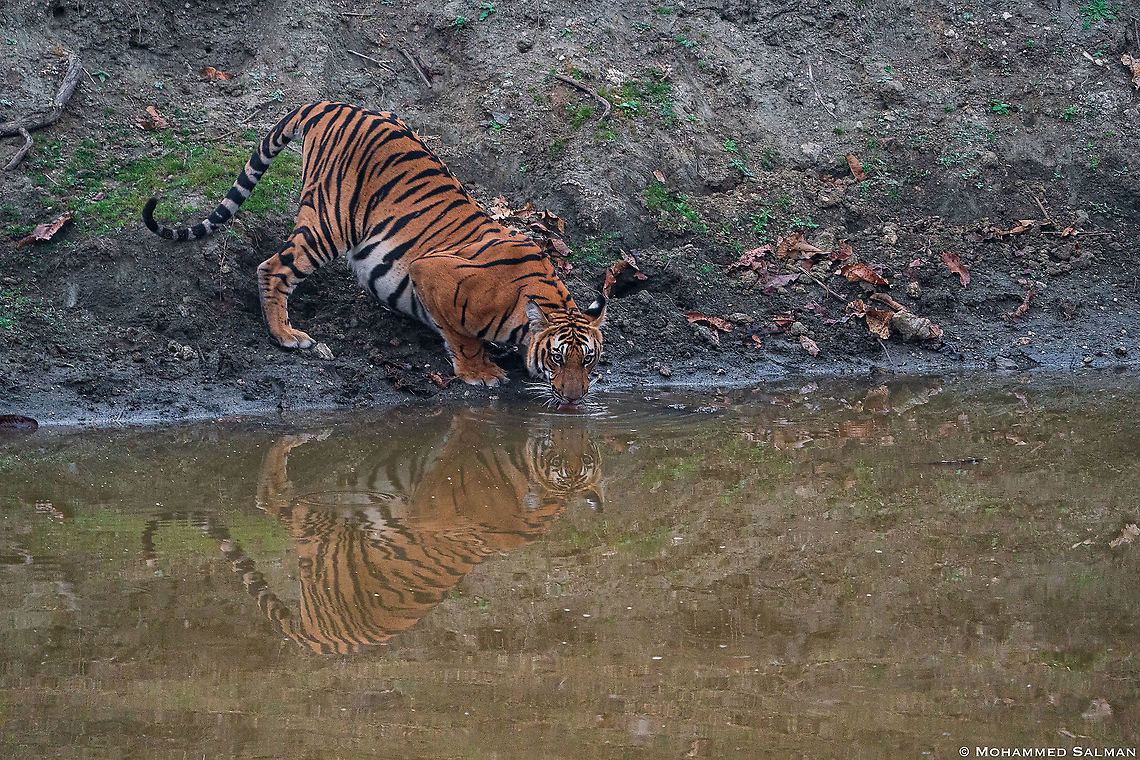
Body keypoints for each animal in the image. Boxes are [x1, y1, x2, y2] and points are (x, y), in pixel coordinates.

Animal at [142, 101, 605, 406]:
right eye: (558, 357)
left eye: (589, 361)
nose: (574, 399)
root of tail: (332, 104)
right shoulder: (431, 270)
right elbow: (462, 336)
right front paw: (481, 374)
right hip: (329, 221)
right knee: (272, 267)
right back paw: (286, 335)